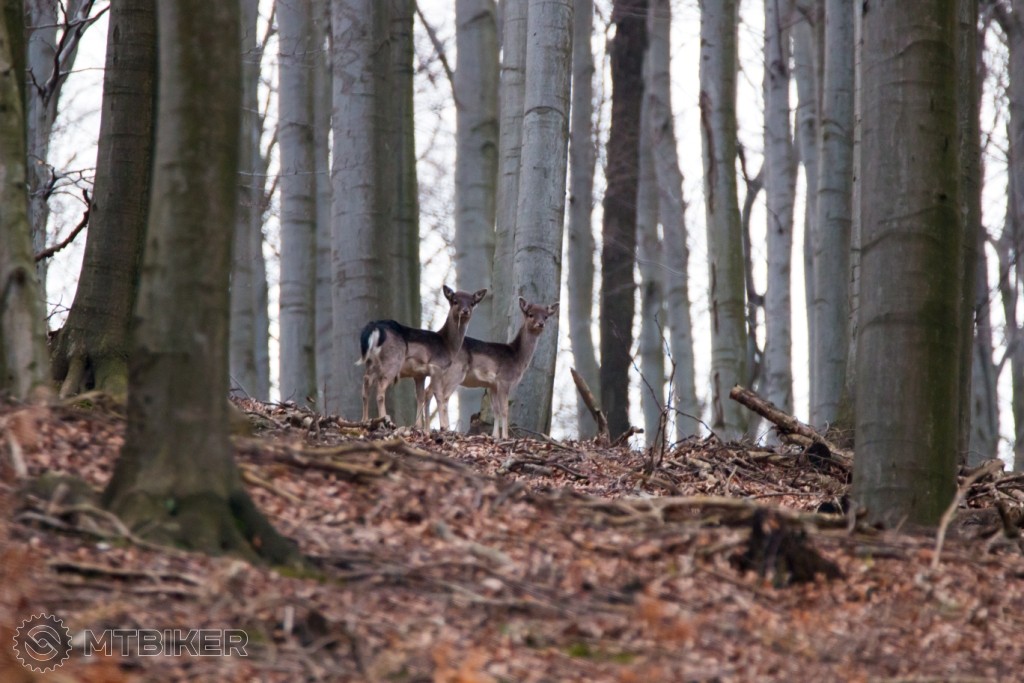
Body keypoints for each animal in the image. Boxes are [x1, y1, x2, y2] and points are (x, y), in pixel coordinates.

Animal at [357, 285, 487, 429]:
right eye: (455, 301)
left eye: (472, 303)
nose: (465, 311)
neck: (448, 345)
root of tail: (374, 327)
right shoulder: (437, 366)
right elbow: (439, 395)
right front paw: (443, 427)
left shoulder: (419, 374)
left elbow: (420, 396)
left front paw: (418, 426)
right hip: (392, 360)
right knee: (380, 389)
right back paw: (385, 422)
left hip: (371, 362)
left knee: (366, 381)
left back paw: (364, 420)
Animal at [428, 297, 559, 438]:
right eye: (530, 314)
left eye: (546, 316)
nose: (541, 324)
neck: (517, 358)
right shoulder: (504, 380)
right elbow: (504, 409)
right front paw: (505, 436)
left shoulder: (492, 385)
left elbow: (495, 410)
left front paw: (495, 436)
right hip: (455, 372)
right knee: (443, 396)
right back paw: (445, 429)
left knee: (429, 392)